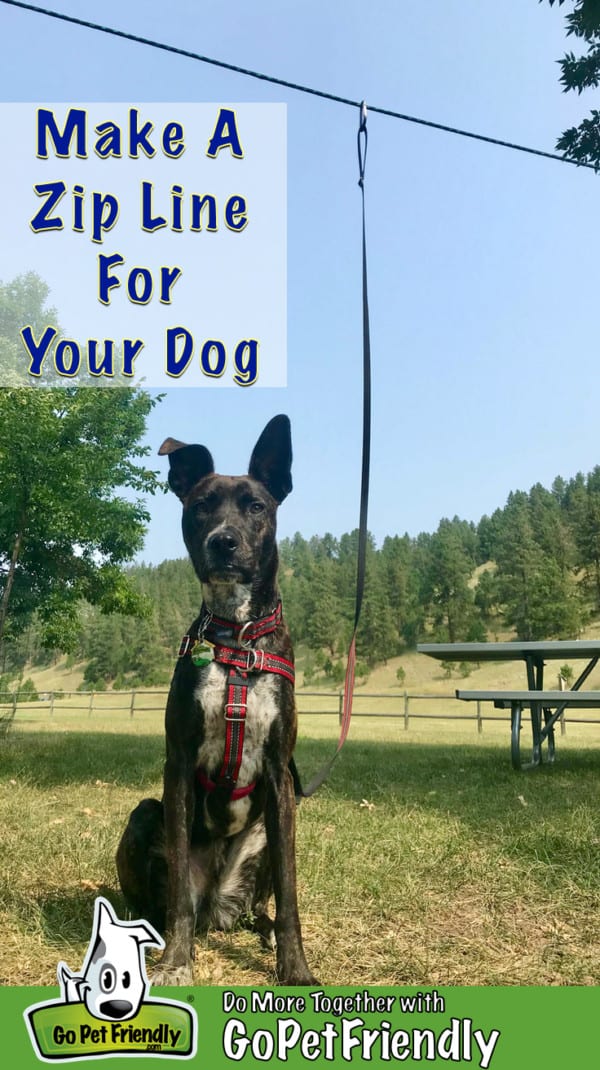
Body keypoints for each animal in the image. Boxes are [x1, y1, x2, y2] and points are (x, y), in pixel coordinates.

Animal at [114, 413, 316, 980]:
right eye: (201, 504)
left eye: (256, 506)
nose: (223, 542)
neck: (237, 638)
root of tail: (217, 909)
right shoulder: (179, 765)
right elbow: (178, 890)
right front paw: (176, 962)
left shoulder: (280, 774)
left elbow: (291, 894)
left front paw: (296, 968)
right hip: (145, 813)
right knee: (160, 901)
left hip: (267, 834)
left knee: (263, 906)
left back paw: (263, 930)